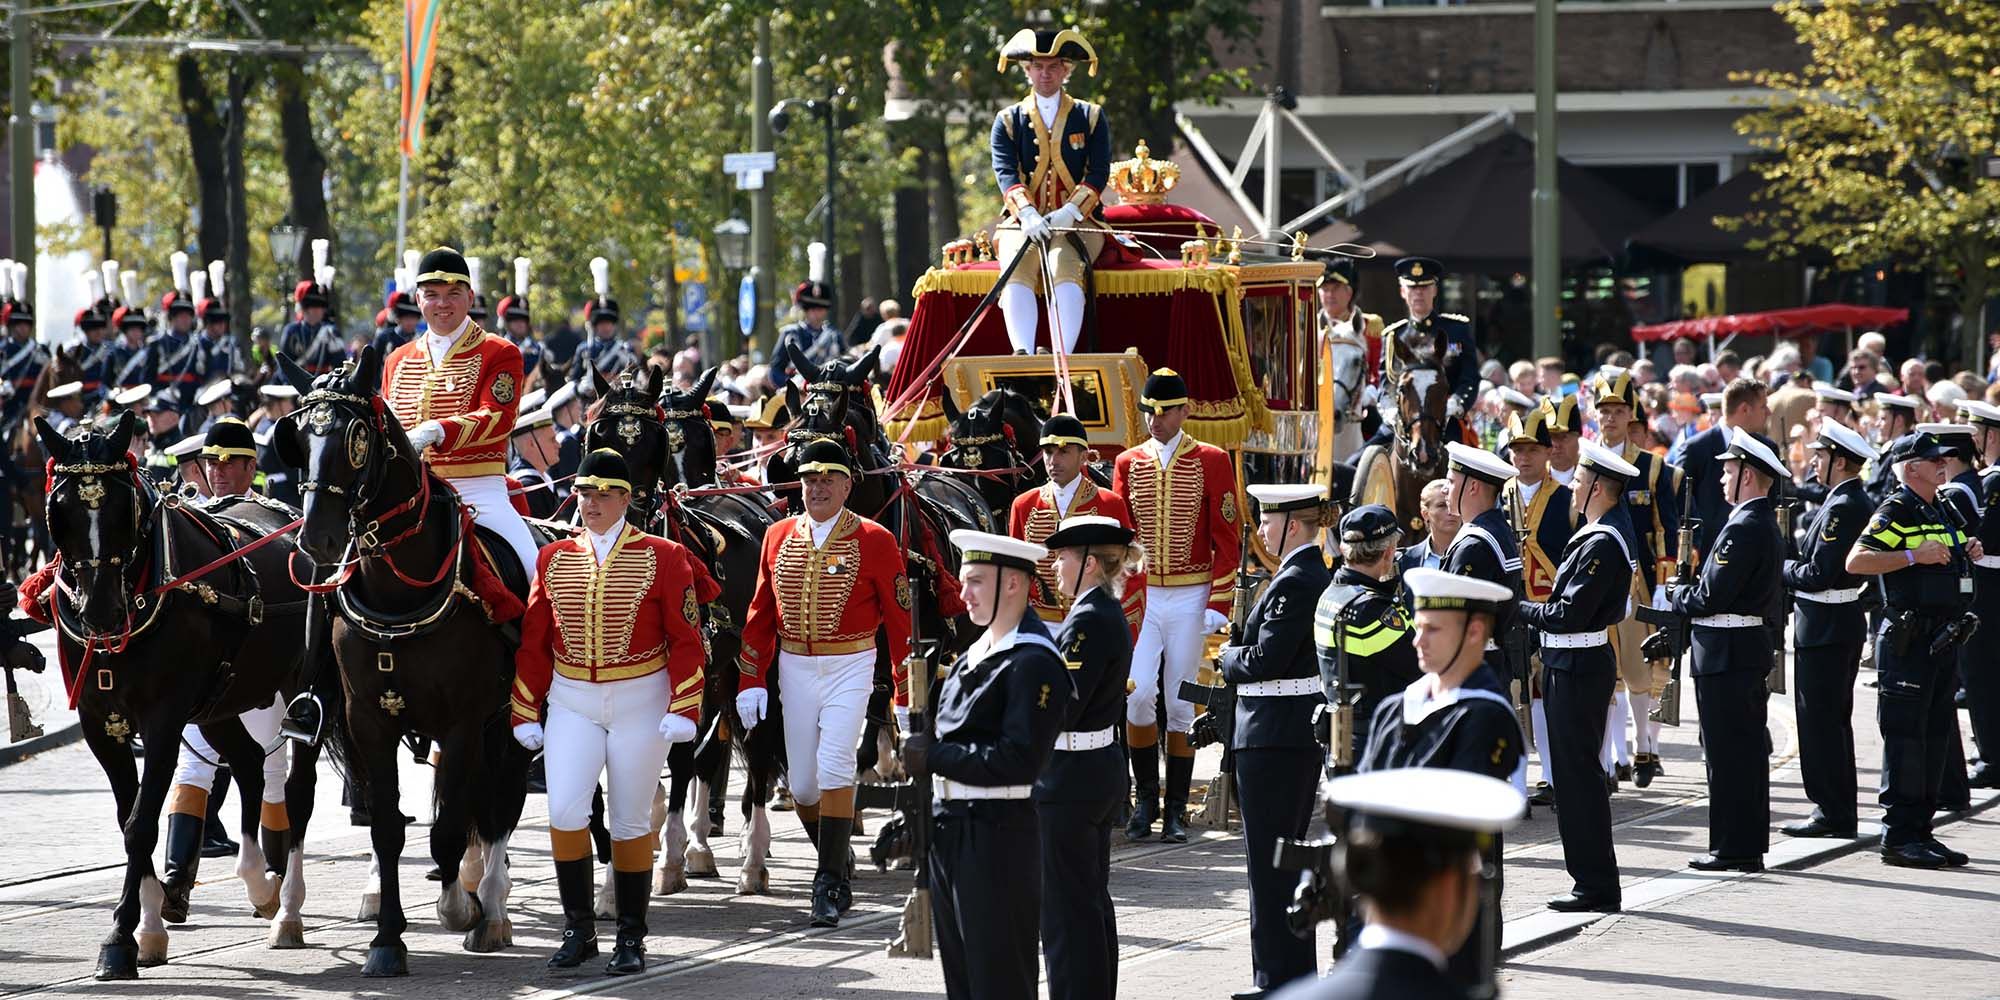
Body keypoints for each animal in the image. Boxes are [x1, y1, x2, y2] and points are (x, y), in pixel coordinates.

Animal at [36, 412, 320, 976]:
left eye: (123, 508)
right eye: (61, 510)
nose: (100, 612)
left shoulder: (162, 721)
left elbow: (141, 823)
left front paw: (120, 938)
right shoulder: (102, 725)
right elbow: (129, 817)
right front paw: (148, 926)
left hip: (306, 696)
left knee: (296, 789)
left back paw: (288, 910)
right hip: (219, 705)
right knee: (249, 765)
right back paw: (258, 883)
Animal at [270, 352, 532, 976]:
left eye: (357, 438)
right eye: (299, 437)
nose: (318, 538)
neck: (398, 593)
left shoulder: (463, 724)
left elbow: (450, 827)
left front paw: (460, 909)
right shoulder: (367, 718)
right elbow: (387, 827)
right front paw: (388, 939)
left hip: (508, 724)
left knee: (501, 803)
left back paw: (492, 909)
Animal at [580, 364, 780, 896]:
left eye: (650, 442)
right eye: (598, 434)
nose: (617, 513)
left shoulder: (691, 671)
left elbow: (682, 755)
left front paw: (669, 856)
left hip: (747, 669)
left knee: (751, 745)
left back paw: (750, 857)